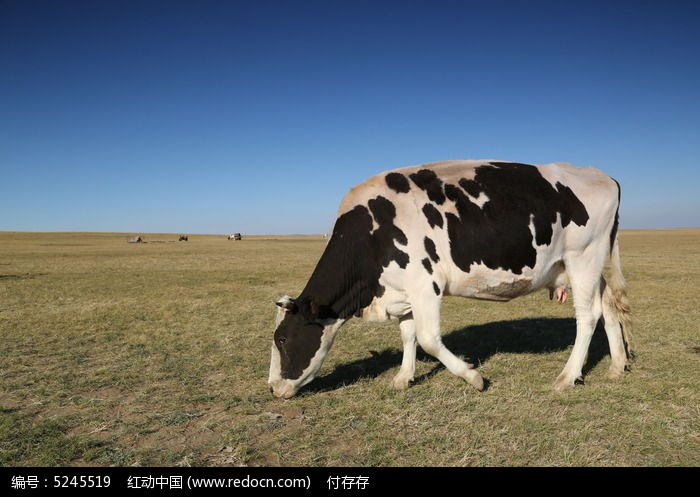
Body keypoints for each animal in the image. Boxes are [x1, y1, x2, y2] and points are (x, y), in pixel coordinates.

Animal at [268, 161, 636, 398]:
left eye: (282, 339)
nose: (272, 388)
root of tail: (602, 175)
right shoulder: (403, 290)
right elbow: (408, 335)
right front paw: (403, 377)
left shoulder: (425, 284)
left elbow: (429, 338)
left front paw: (474, 378)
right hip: (579, 265)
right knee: (607, 305)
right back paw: (617, 365)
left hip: (583, 256)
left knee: (587, 316)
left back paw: (567, 377)